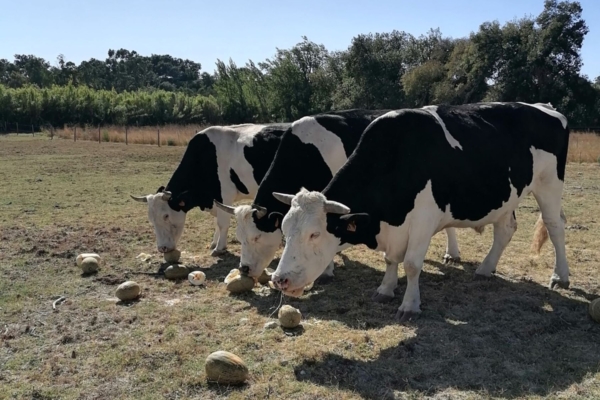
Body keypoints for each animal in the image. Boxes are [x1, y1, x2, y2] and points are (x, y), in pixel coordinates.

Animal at [132, 122, 290, 256]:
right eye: (150, 219)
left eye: (165, 216)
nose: (162, 248)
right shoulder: (216, 199)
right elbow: (217, 223)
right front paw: (214, 243)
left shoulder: (225, 195)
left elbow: (222, 223)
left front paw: (219, 248)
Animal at [212, 110, 468, 282]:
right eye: (239, 237)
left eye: (256, 237)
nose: (244, 269)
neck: (307, 152)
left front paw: (327, 269)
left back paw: (452, 252)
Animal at [270, 102, 568, 322]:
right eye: (284, 230)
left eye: (314, 234)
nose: (279, 279)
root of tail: (544, 106)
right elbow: (390, 260)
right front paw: (385, 289)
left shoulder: (424, 219)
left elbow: (412, 264)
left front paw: (409, 306)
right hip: (507, 197)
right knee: (505, 230)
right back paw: (485, 269)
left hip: (549, 184)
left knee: (555, 227)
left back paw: (560, 276)